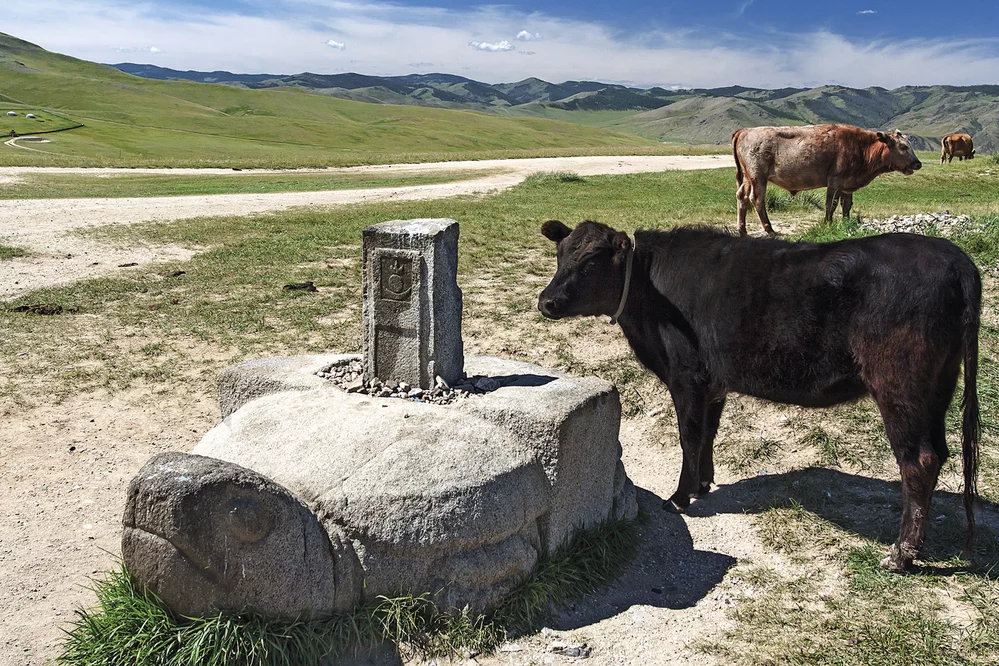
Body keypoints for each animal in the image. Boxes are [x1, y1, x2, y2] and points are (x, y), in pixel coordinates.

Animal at [540, 219, 984, 572]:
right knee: (939, 453)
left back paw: (900, 555)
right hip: (937, 388)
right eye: (560, 255)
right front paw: (703, 484)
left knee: (918, 462)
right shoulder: (712, 382)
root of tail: (954, 257)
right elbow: (707, 435)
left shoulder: (686, 376)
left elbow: (689, 435)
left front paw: (680, 497)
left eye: (591, 260)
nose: (546, 301)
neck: (649, 295)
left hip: (899, 385)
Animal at [736, 124, 920, 236]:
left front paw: (846, 222)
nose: (917, 163)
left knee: (742, 197)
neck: (862, 146)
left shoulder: (846, 186)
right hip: (758, 177)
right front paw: (827, 223)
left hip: (747, 179)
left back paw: (743, 230)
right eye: (903, 147)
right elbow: (830, 204)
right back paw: (770, 230)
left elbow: (846, 206)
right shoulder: (835, 182)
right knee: (757, 199)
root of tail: (745, 131)